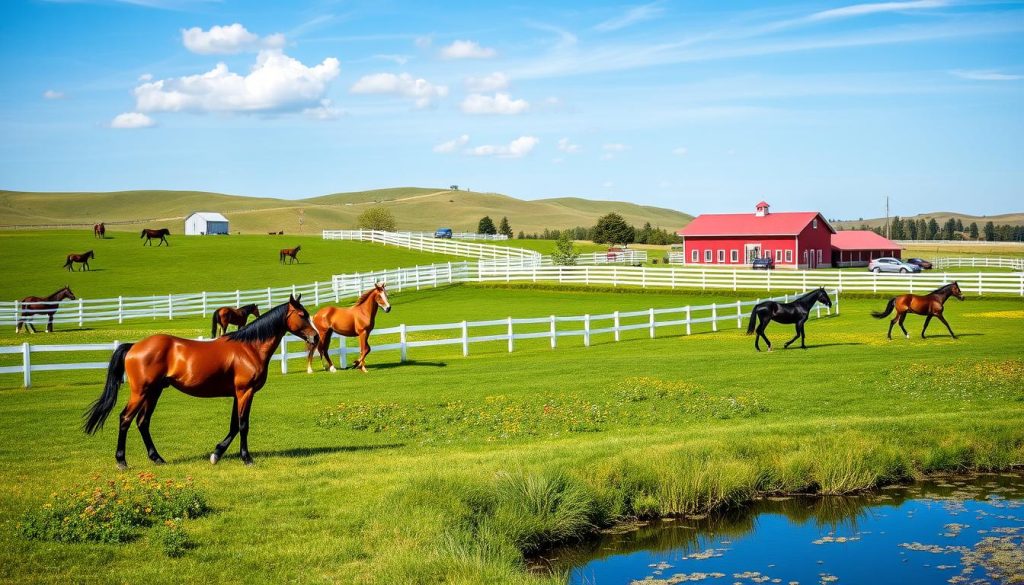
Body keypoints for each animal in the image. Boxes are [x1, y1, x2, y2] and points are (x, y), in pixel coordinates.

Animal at [83, 294, 318, 469]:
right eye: (302, 315)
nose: (316, 337)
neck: (248, 348)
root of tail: (134, 346)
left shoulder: (237, 394)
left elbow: (234, 425)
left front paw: (217, 453)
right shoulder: (245, 391)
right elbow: (243, 425)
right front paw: (246, 458)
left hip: (154, 392)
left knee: (143, 422)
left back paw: (157, 458)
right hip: (141, 392)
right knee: (125, 419)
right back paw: (122, 461)